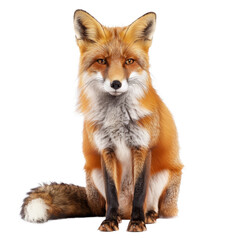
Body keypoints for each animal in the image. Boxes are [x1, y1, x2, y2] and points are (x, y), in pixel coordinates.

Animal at [20, 9, 183, 232]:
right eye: (102, 61)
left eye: (129, 61)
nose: (116, 84)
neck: (117, 118)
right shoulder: (106, 149)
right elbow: (112, 191)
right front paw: (109, 221)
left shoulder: (142, 147)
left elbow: (140, 191)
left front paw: (137, 221)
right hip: (94, 173)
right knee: (110, 205)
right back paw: (119, 217)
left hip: (164, 175)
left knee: (152, 205)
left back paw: (148, 215)